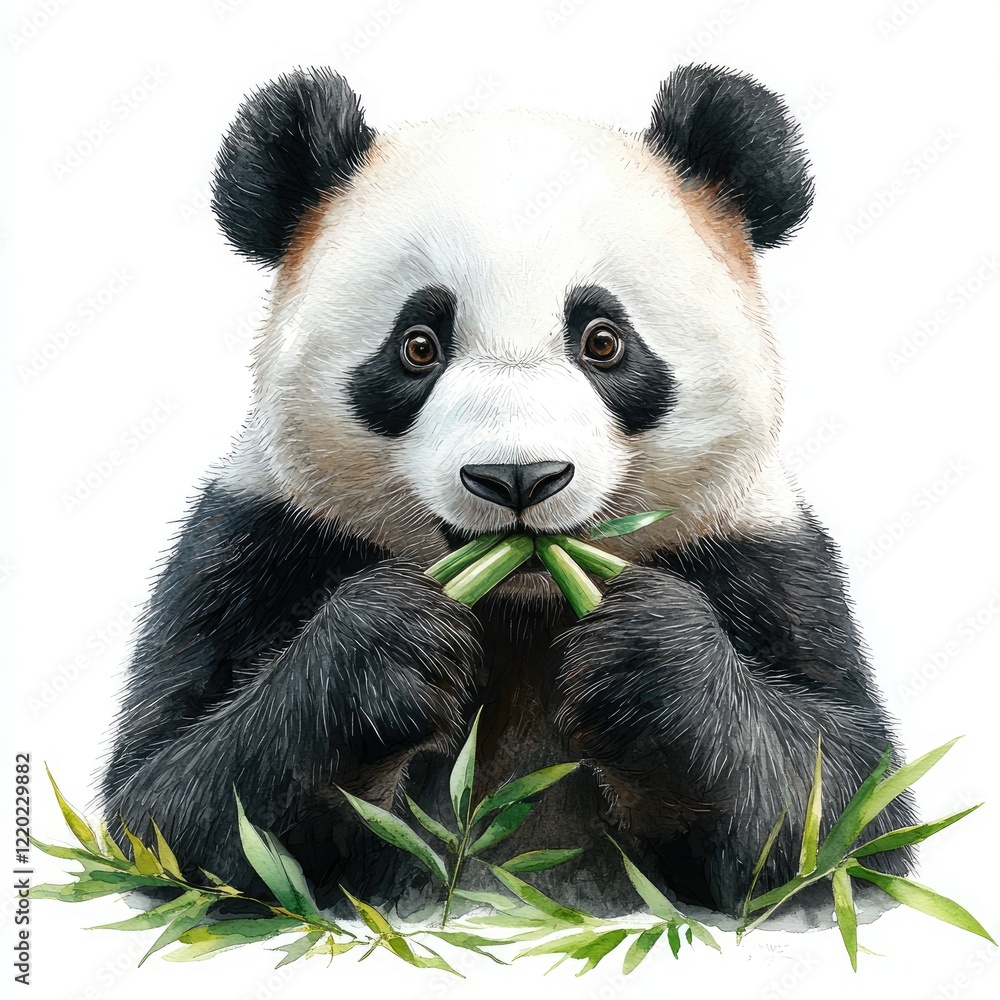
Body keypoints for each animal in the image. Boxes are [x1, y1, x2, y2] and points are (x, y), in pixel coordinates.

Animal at [102, 64, 916, 919]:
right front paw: (394, 646)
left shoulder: (762, 559)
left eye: (603, 340)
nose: (518, 476)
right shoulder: (260, 541)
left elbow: (836, 808)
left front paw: (645, 657)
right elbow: (172, 807)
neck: (520, 605)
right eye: (417, 346)